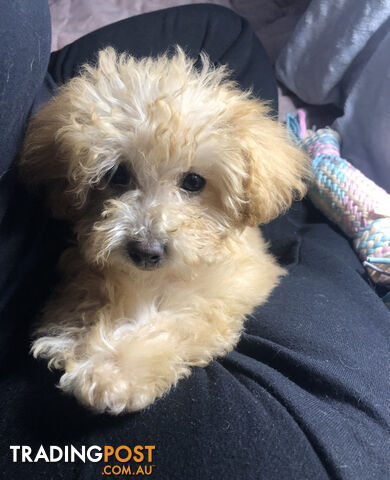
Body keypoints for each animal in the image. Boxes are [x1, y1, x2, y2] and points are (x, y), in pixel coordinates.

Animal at [20, 49, 308, 416]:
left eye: (194, 182)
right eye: (118, 175)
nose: (146, 250)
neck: (152, 281)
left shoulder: (221, 292)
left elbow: (174, 323)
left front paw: (113, 370)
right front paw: (75, 336)